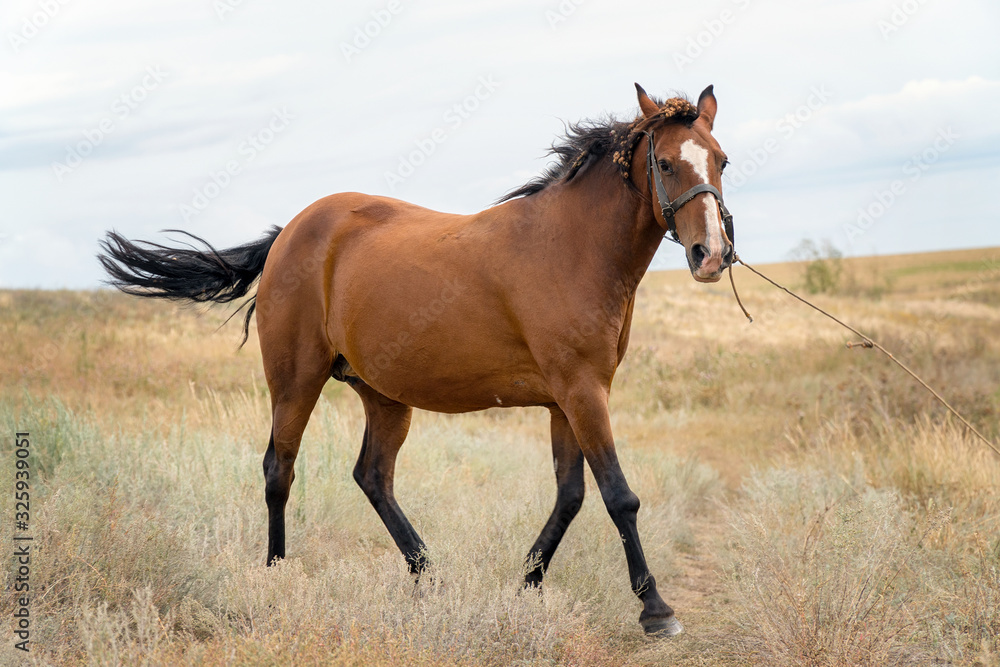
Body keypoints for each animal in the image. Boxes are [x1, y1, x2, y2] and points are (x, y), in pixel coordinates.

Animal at [99, 83, 735, 637]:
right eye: (667, 164)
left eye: (722, 161)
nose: (711, 254)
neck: (571, 247)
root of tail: (289, 233)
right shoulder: (582, 392)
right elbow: (618, 496)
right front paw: (655, 609)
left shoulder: (568, 400)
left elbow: (571, 497)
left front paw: (524, 584)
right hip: (295, 380)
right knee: (279, 469)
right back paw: (278, 576)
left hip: (383, 397)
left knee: (372, 477)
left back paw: (430, 579)